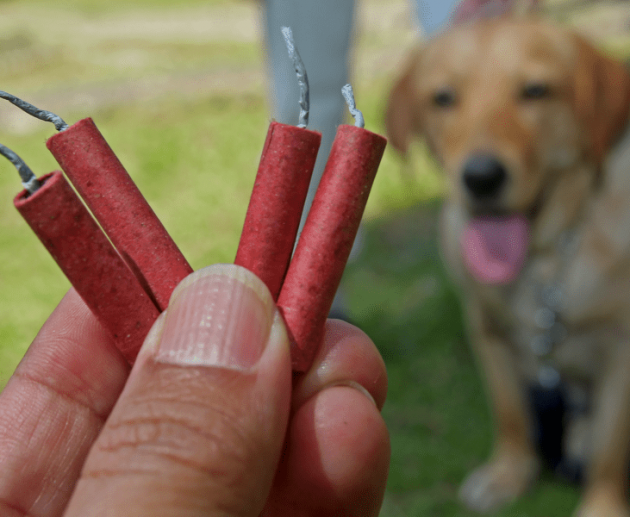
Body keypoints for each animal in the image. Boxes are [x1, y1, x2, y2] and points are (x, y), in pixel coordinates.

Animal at [388, 17, 630, 516]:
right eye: (443, 97)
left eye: (536, 90)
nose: (482, 177)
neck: (544, 260)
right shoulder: (486, 328)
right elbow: (511, 414)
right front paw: (510, 473)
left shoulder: (623, 350)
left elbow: (609, 452)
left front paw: (602, 506)